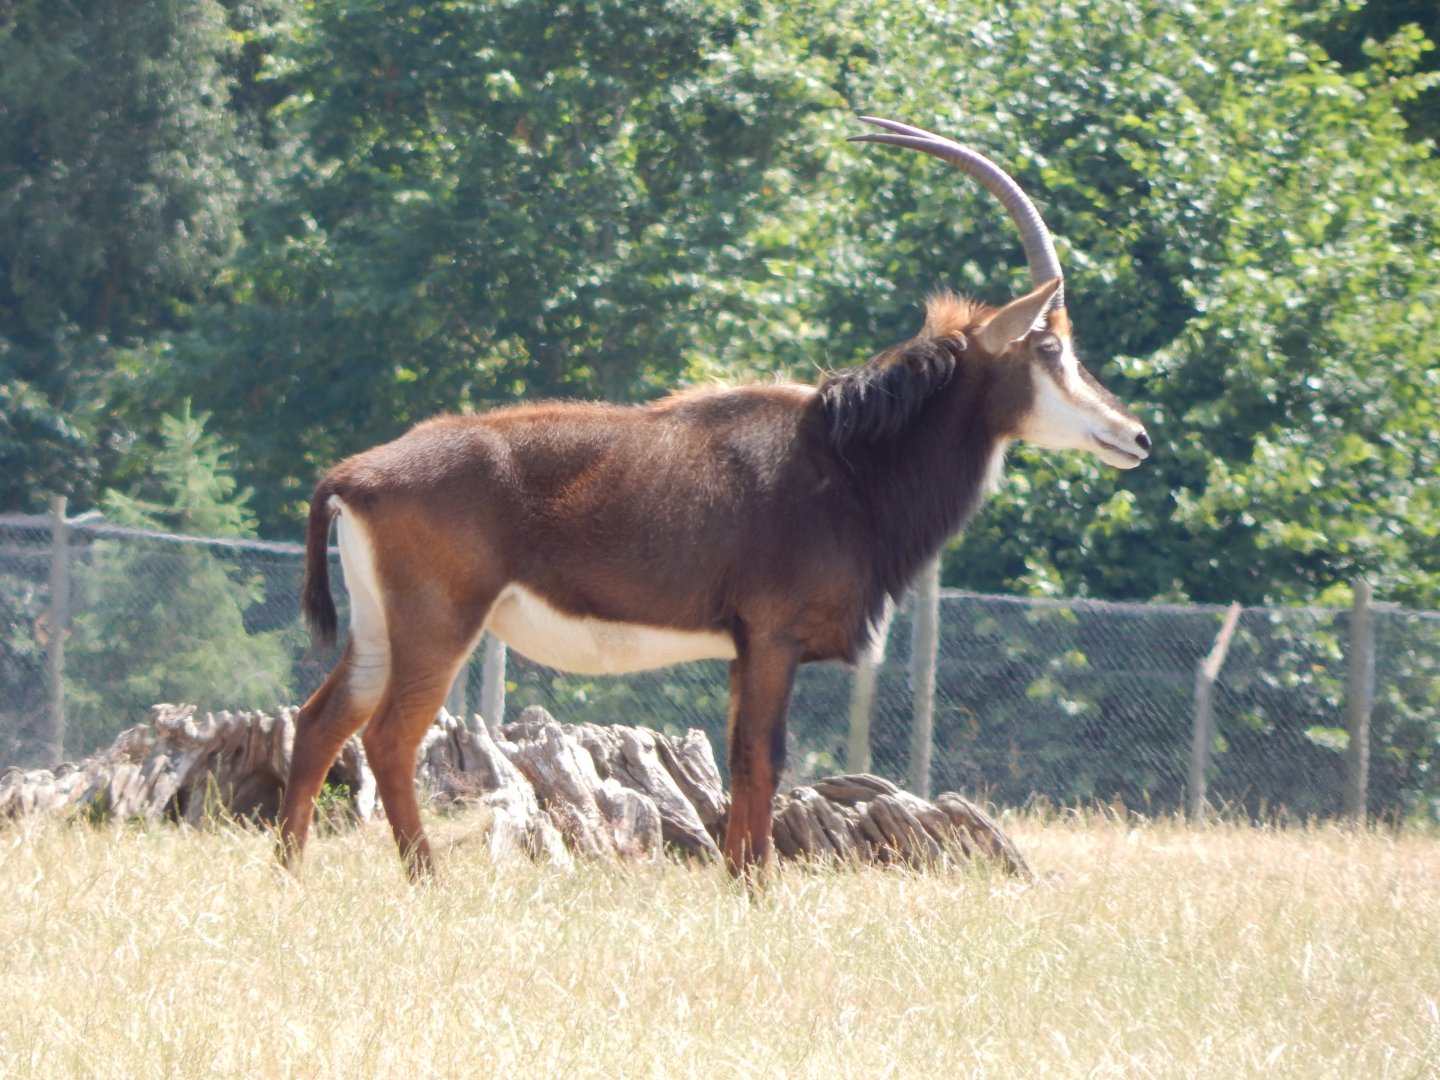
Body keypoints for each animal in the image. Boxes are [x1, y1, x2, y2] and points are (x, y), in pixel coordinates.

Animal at [278, 117, 1152, 880]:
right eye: (1050, 346)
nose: (1135, 436)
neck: (845, 459)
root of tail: (352, 473)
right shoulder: (772, 636)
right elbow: (763, 758)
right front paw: (758, 887)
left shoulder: (743, 646)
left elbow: (741, 758)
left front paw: (739, 876)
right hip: (440, 623)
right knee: (389, 735)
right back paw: (424, 877)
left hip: (380, 626)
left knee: (322, 720)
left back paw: (290, 868)